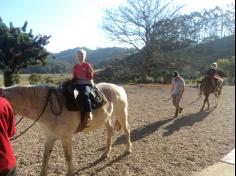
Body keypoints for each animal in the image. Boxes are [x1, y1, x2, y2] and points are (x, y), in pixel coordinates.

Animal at [0, 83, 132, 176]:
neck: (48, 106)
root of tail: (118, 87)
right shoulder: (50, 136)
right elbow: (45, 157)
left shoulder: (66, 137)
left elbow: (68, 157)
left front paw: (70, 173)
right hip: (106, 119)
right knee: (110, 131)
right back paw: (106, 153)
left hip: (121, 114)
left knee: (127, 130)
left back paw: (128, 150)